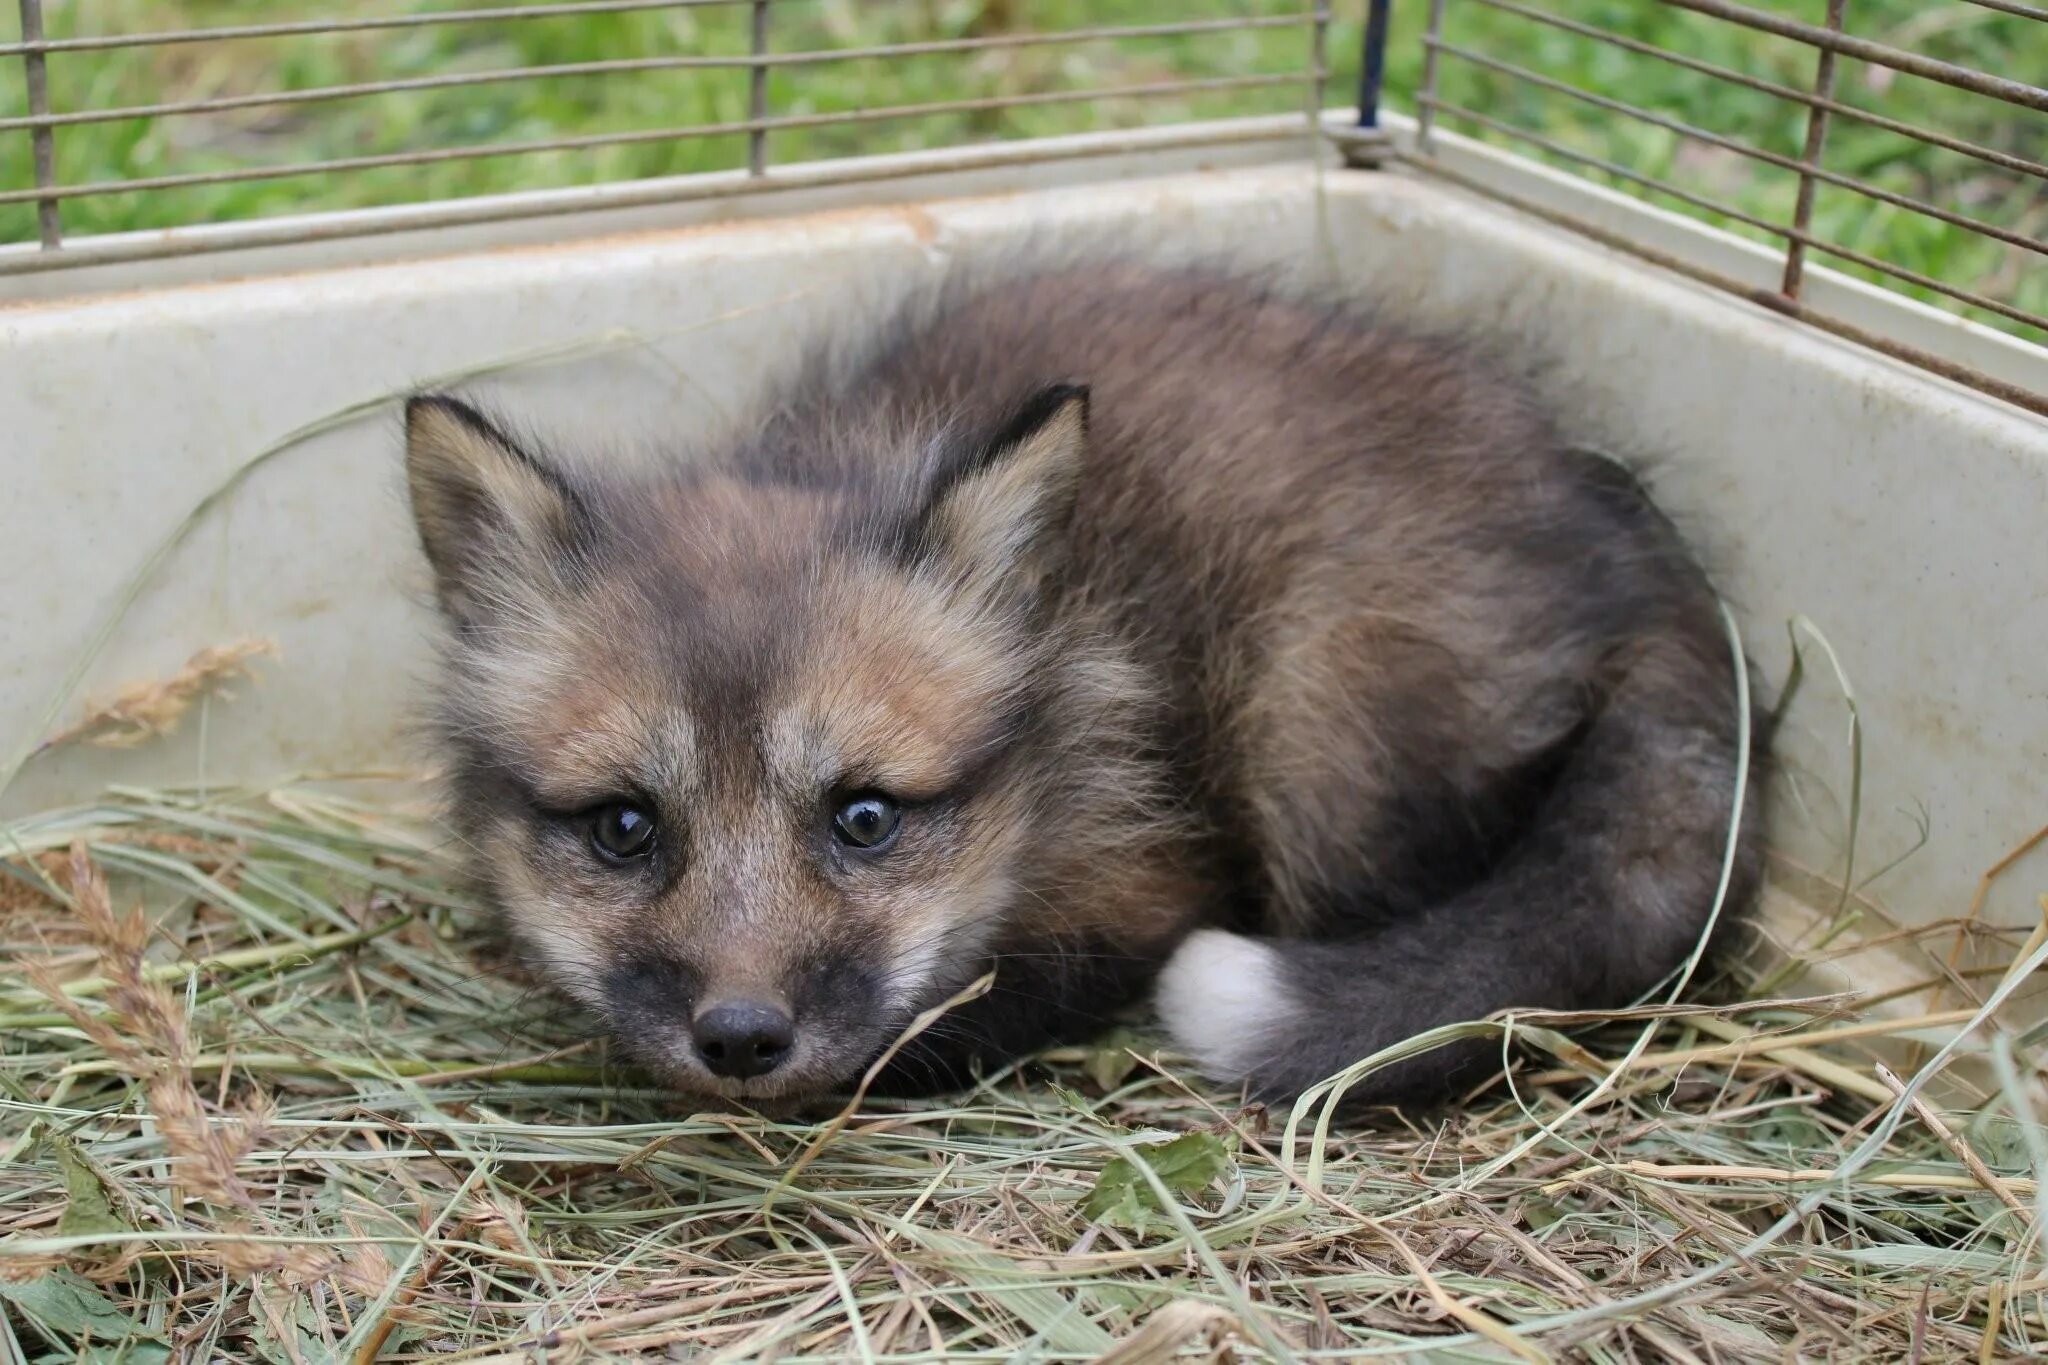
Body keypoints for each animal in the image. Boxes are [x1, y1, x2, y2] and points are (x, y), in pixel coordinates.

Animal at [399, 263, 1761, 1113]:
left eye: (865, 817)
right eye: (624, 828)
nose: (740, 1038)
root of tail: (1615, 519)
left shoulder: (1154, 890)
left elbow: (937, 1028)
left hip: (1313, 722)